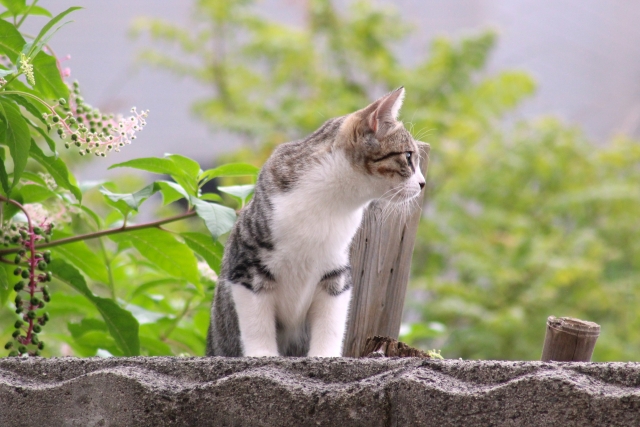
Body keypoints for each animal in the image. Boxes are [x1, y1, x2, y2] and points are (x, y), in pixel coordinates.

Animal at [206, 88, 424, 358]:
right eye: (408, 156)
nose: (423, 183)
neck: (331, 202)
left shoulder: (336, 272)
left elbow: (331, 322)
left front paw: (325, 355)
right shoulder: (246, 268)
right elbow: (257, 323)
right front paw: (262, 354)